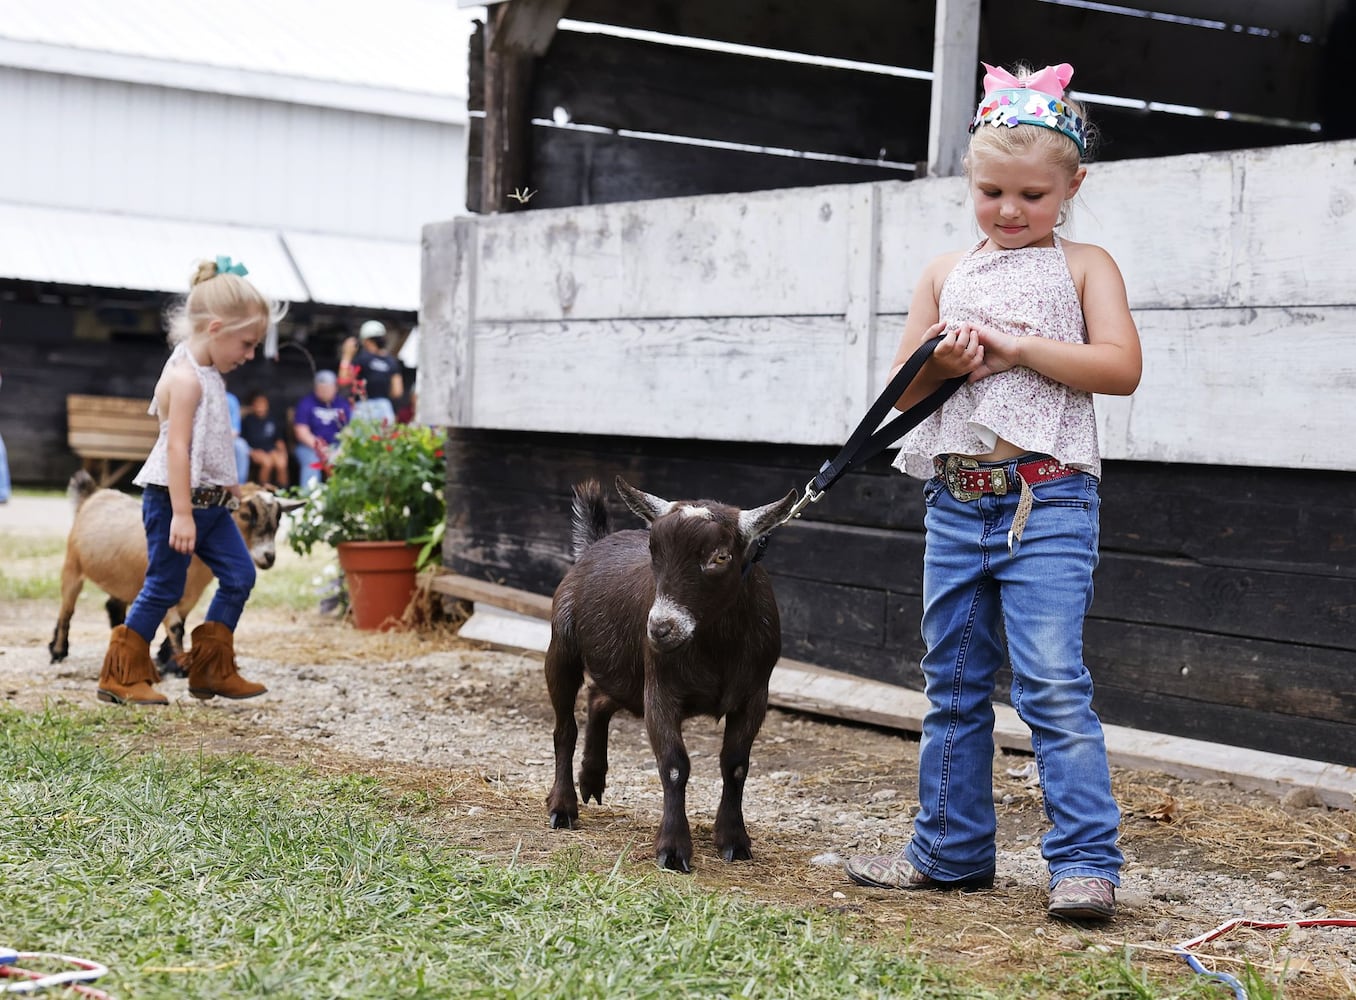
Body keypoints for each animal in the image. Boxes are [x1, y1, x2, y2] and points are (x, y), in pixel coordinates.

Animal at [48, 469, 305, 670]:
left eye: (278, 519)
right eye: (245, 515)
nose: (268, 557)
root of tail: (93, 495)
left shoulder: (190, 595)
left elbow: (182, 622)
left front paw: (166, 659)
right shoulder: (164, 588)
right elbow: (176, 626)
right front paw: (180, 667)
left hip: (121, 580)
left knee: (113, 607)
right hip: (72, 567)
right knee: (66, 609)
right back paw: (58, 652)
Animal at [539, 472, 791, 868]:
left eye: (720, 556)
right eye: (653, 552)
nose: (659, 628)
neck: (716, 645)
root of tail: (592, 546)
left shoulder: (754, 695)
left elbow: (736, 765)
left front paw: (734, 841)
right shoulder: (661, 689)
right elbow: (674, 765)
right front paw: (672, 849)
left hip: (626, 673)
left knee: (599, 698)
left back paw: (592, 779)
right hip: (562, 648)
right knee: (564, 728)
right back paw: (563, 807)